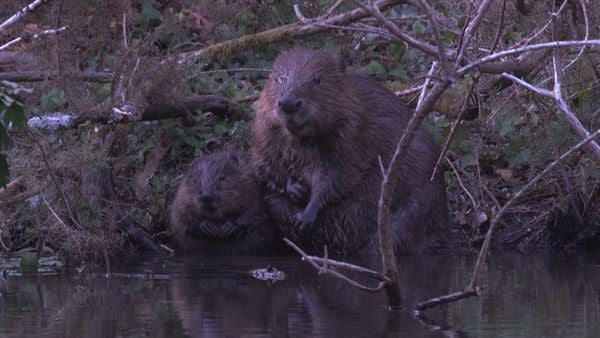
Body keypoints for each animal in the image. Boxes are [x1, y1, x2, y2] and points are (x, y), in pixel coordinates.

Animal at [250, 46, 450, 254]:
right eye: (278, 79)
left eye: (317, 79)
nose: (289, 104)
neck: (299, 141)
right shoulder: (264, 132)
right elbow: (268, 164)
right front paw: (295, 188)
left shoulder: (353, 134)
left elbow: (339, 174)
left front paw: (305, 216)